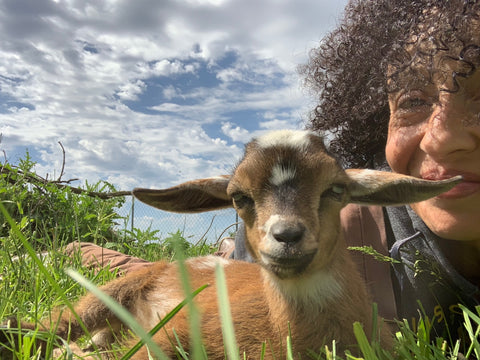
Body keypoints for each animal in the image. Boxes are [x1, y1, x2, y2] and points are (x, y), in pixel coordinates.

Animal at [2, 131, 462, 358]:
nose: (287, 236)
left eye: (336, 189)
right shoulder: (175, 334)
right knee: (52, 325)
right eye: (239, 196)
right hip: (104, 295)